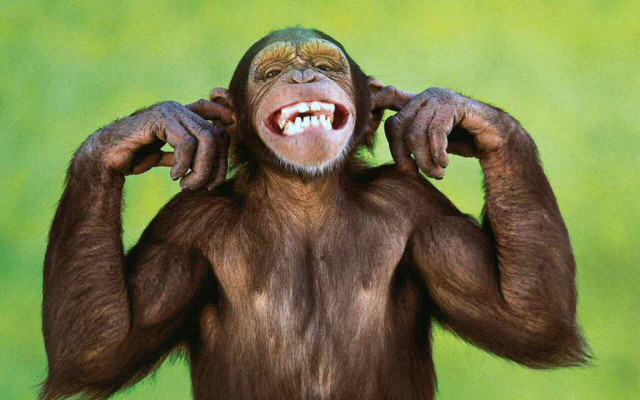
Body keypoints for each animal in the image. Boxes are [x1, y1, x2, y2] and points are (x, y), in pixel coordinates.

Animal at [41, 27, 588, 400]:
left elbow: (525, 320)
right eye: (270, 72)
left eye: (327, 66)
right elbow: (99, 348)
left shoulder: (418, 210)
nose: (303, 74)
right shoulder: (184, 229)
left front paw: (445, 110)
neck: (304, 199)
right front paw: (147, 129)